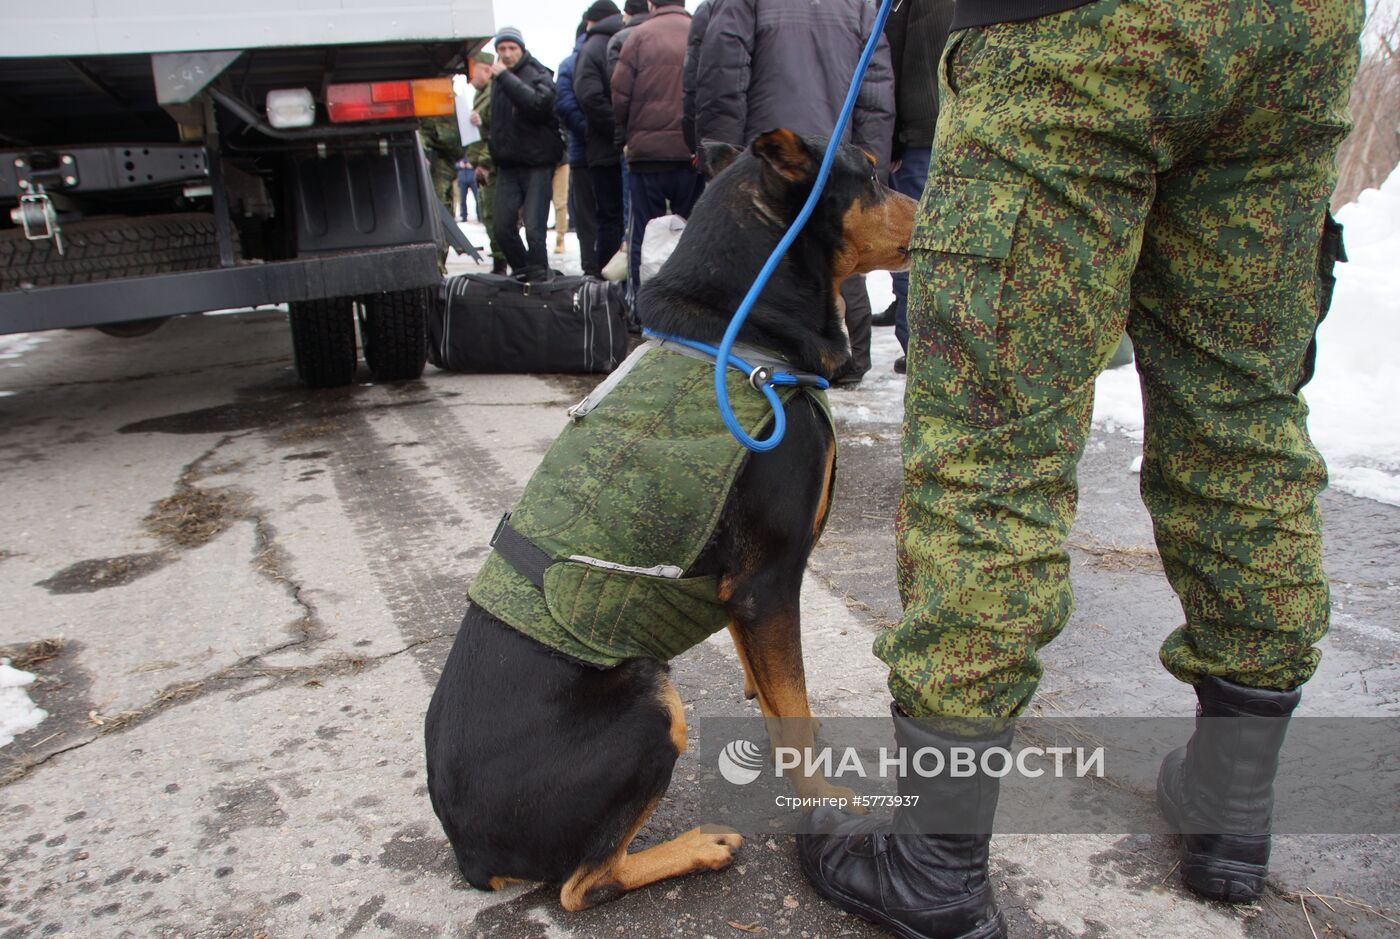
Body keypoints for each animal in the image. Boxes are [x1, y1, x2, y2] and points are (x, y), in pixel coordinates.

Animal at [420, 128, 912, 912]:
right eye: (868, 173)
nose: (933, 202)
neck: (741, 330)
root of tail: (469, 852)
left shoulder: (743, 590)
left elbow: (774, 692)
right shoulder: (768, 580)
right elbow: (799, 714)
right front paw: (825, 805)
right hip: (652, 705)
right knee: (584, 883)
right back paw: (698, 847)